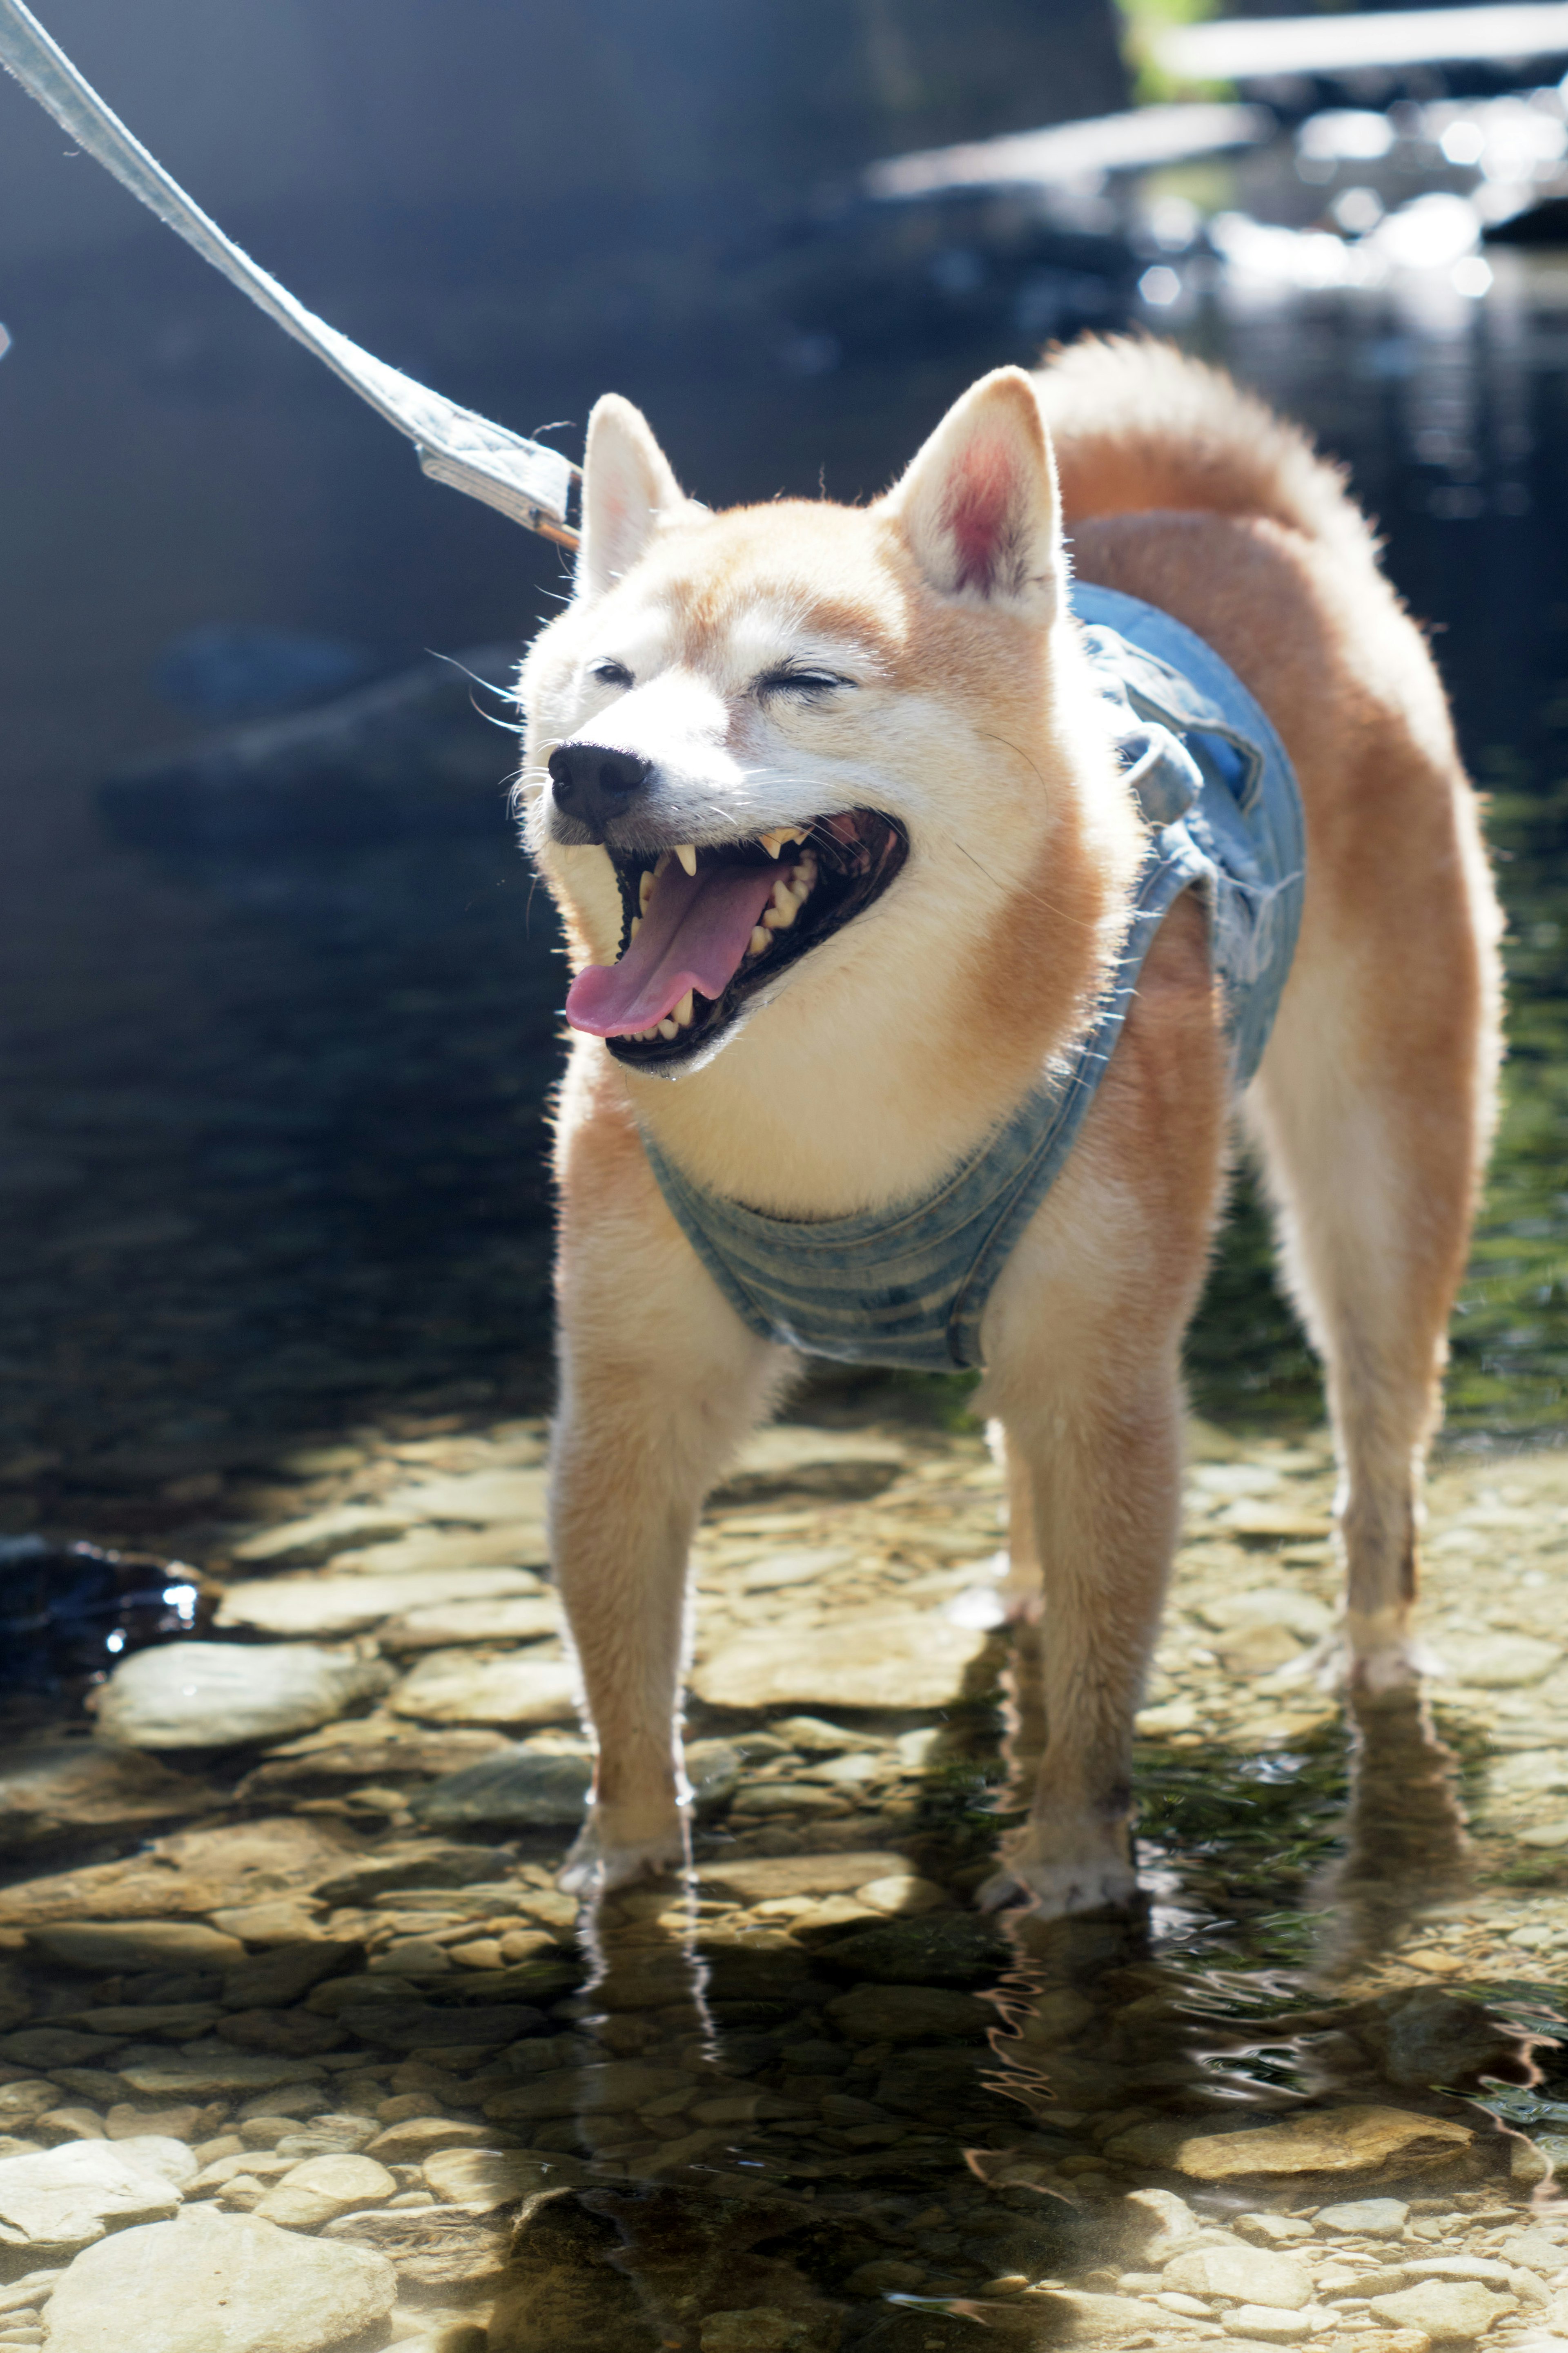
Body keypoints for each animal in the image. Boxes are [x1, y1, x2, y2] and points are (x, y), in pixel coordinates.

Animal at [522, 336, 1504, 1910]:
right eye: (607, 676)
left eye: (801, 681)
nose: (594, 768)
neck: (837, 1098)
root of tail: (1254, 529)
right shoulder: (626, 1396)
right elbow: (623, 1688)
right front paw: (621, 1859)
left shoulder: (1111, 1382)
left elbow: (1102, 1690)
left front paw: (1075, 1864)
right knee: (1028, 1503)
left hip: (1376, 1196)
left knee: (1377, 1474)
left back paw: (1369, 1661)